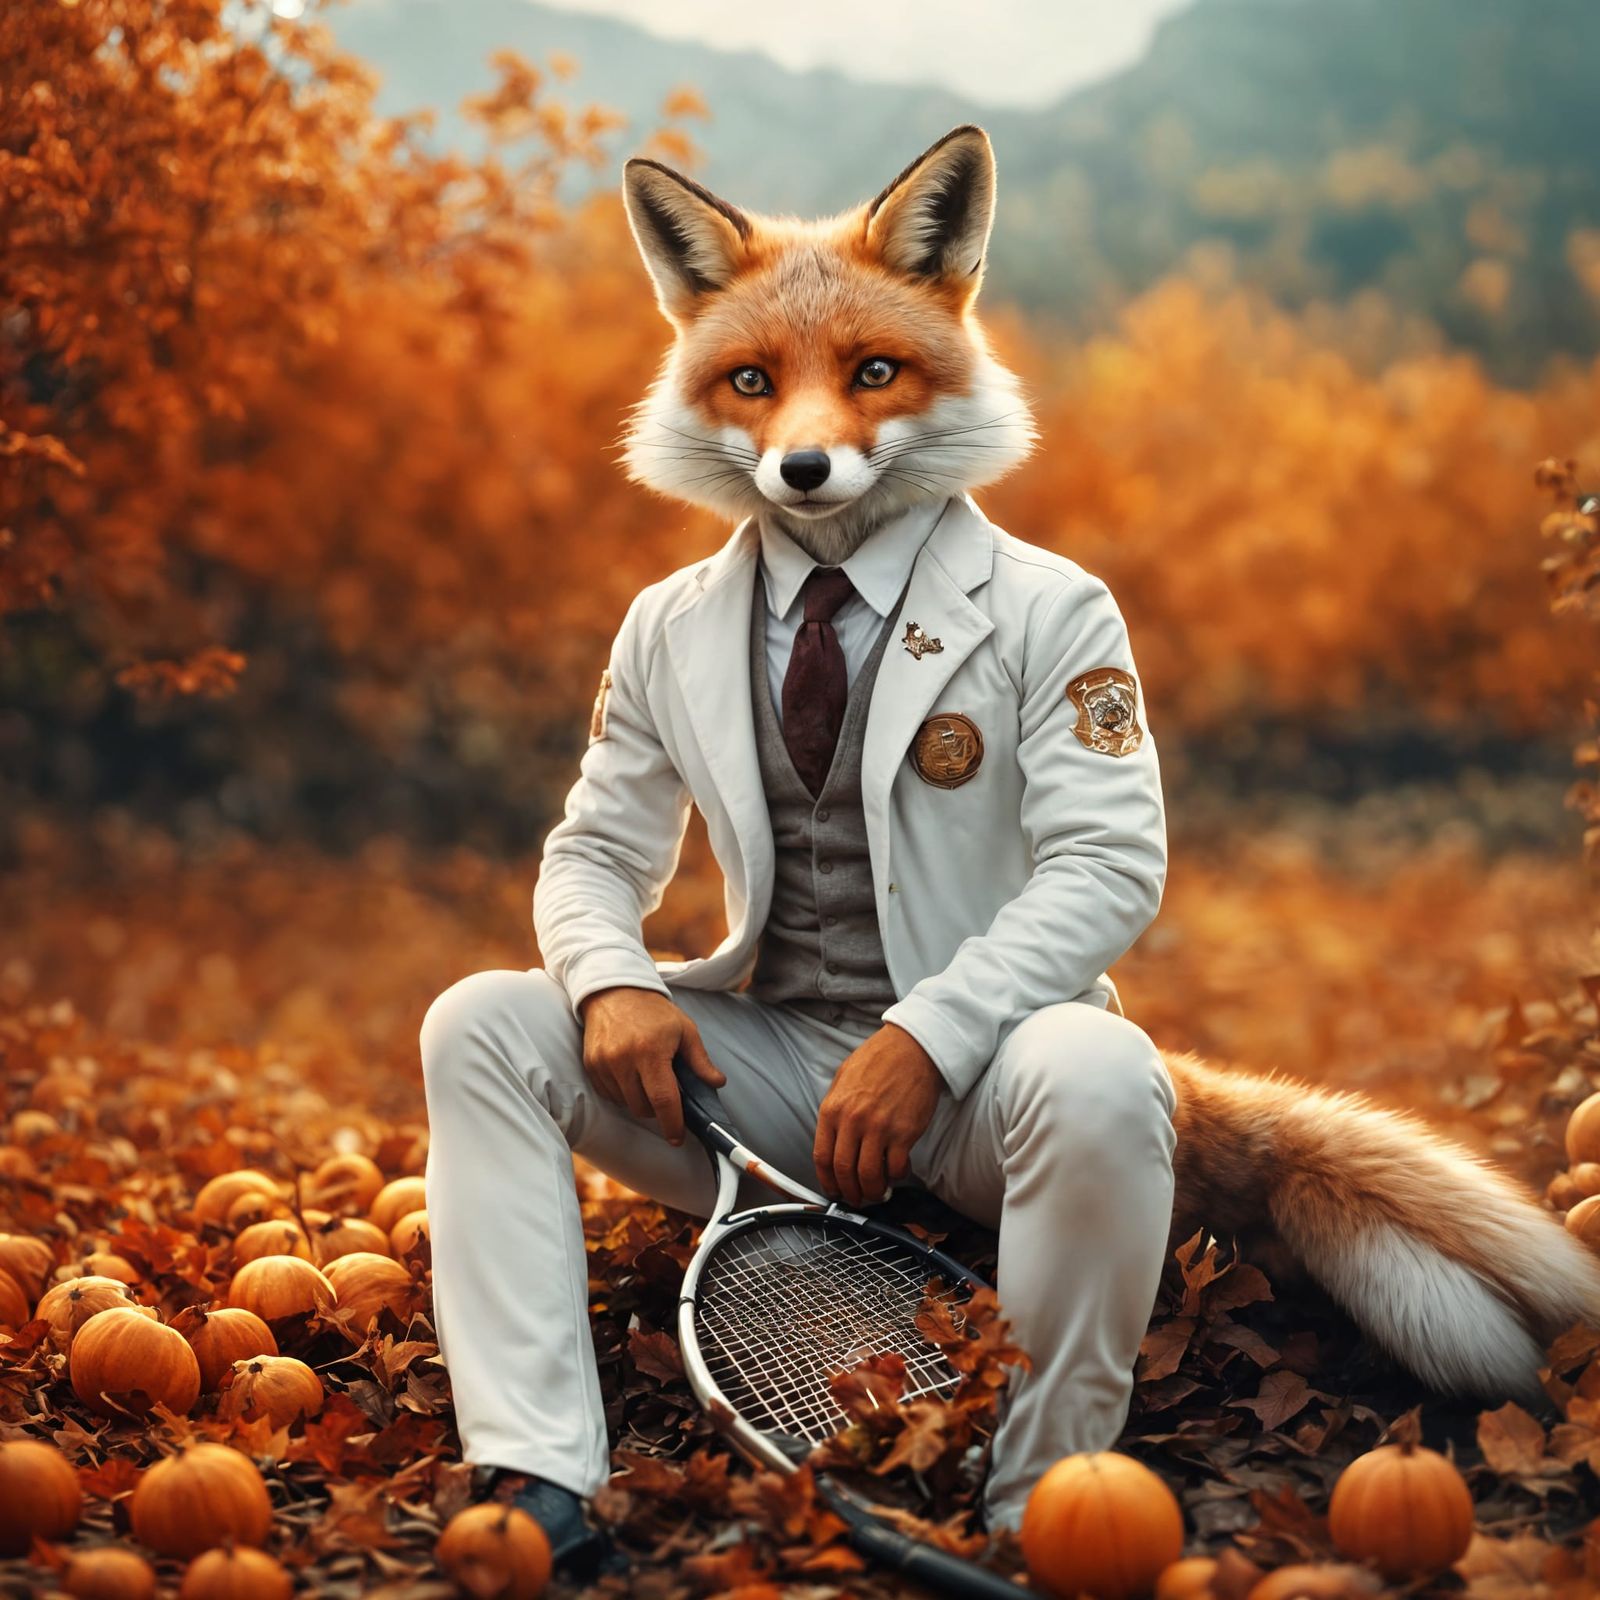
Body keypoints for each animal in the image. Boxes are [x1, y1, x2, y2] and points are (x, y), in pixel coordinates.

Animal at [617, 123, 1600, 1403]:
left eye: (874, 372)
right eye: (752, 383)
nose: (804, 472)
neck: (833, 579)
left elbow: (1095, 858)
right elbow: (590, 854)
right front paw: (631, 1028)